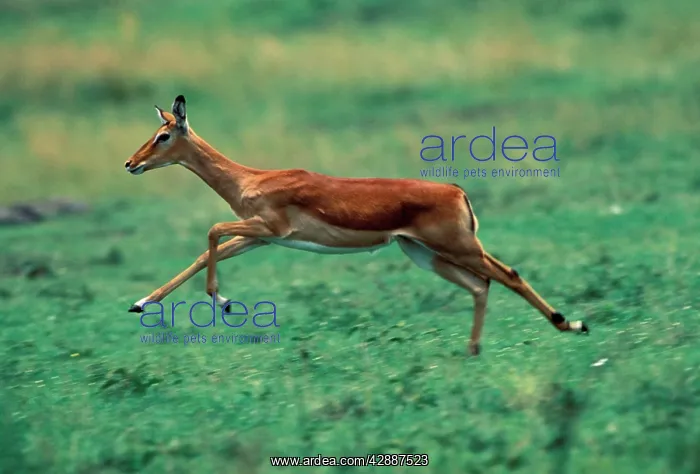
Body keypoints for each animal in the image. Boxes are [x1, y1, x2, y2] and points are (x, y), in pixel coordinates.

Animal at [124, 95, 588, 355]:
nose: (131, 163)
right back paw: (472, 350)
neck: (250, 179)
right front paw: (141, 303)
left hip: (458, 246)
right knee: (481, 286)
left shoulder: (269, 230)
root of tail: (456, 191)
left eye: (164, 135)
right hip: (425, 254)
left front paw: (225, 303)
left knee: (509, 275)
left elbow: (212, 232)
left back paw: (572, 324)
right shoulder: (261, 238)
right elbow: (205, 253)